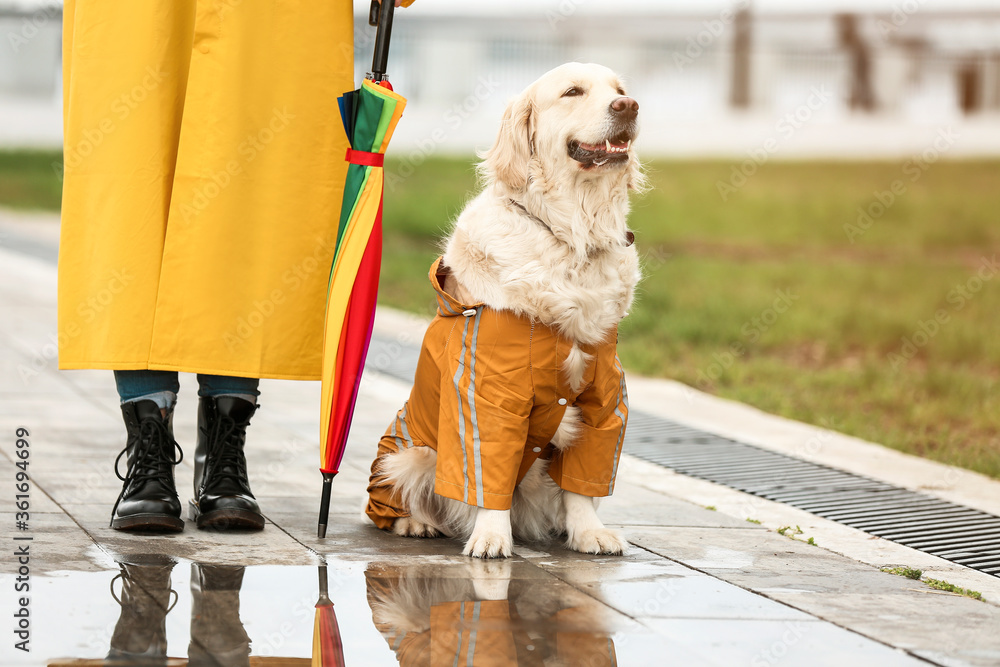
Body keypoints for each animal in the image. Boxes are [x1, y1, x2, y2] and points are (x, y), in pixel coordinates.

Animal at [366, 62, 640, 560]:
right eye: (573, 92)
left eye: (620, 90)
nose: (628, 107)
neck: (571, 236)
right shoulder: (486, 393)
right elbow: (485, 470)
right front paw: (491, 537)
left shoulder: (604, 395)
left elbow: (584, 481)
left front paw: (589, 532)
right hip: (406, 455)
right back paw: (416, 523)